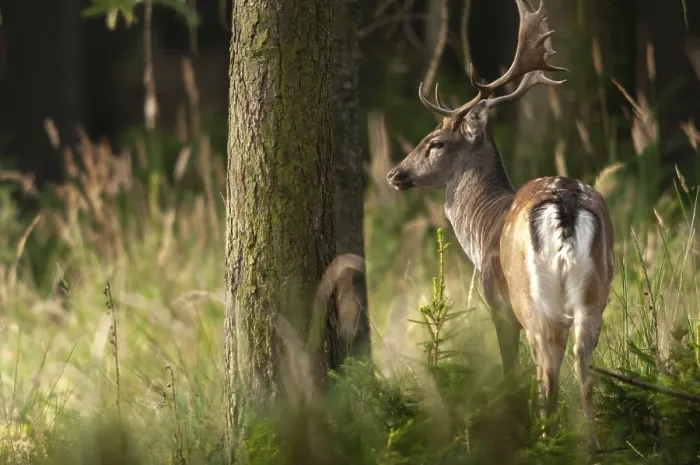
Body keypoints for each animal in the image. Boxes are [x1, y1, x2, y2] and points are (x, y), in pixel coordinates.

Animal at [385, 0, 614, 449]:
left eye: (436, 142)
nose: (395, 173)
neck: (483, 226)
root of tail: (565, 202)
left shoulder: (496, 298)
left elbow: (510, 367)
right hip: (595, 292)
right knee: (582, 362)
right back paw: (591, 445)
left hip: (530, 297)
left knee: (548, 366)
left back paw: (544, 440)